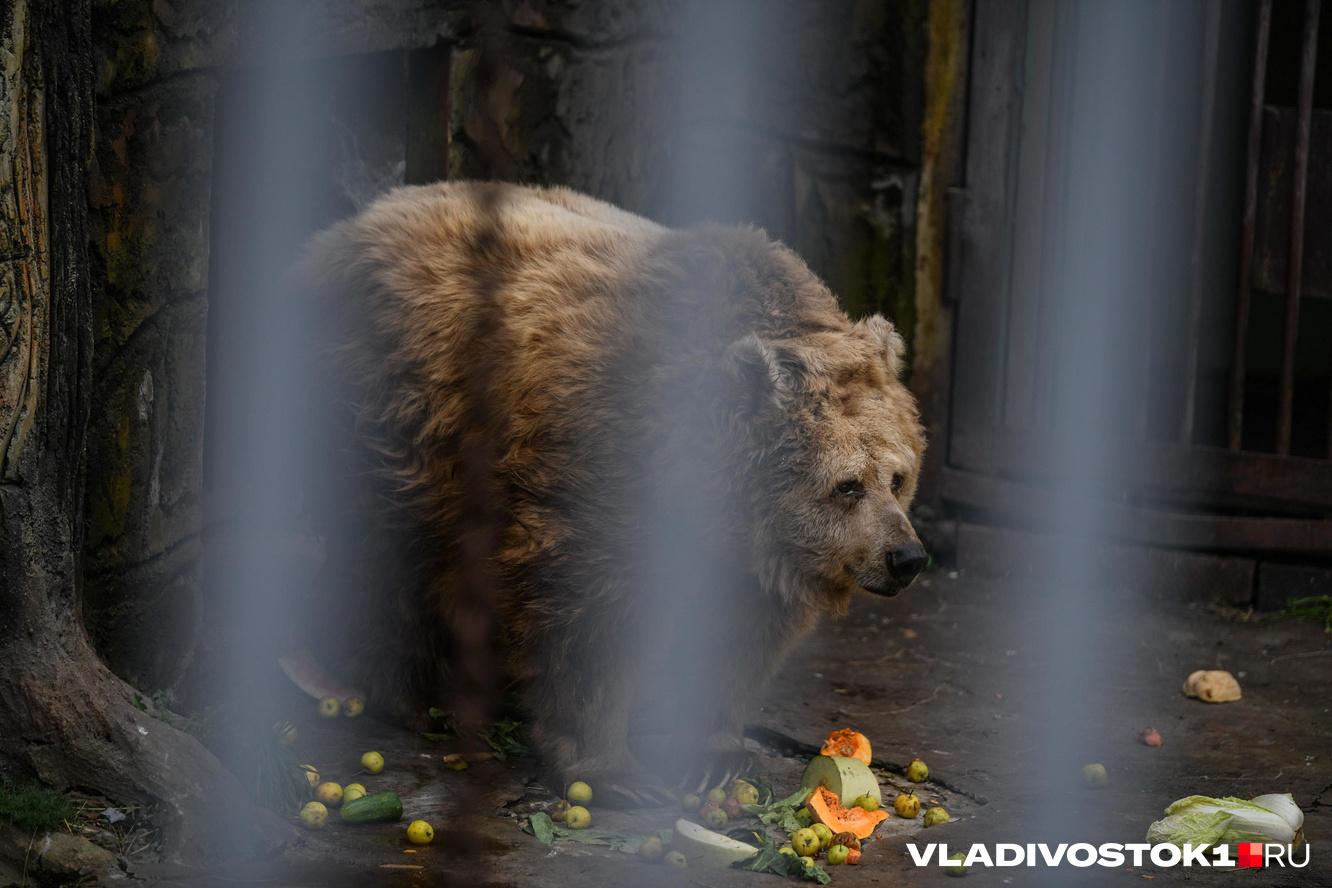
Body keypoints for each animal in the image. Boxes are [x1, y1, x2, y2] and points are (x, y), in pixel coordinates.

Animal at [298, 181, 927, 804]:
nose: (906, 558)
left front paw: (716, 756)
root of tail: (352, 223)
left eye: (897, 477)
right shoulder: (598, 481)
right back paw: (412, 698)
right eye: (847, 485)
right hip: (397, 418)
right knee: (389, 559)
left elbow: (738, 637)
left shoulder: (756, 558)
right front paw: (612, 771)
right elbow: (589, 625)